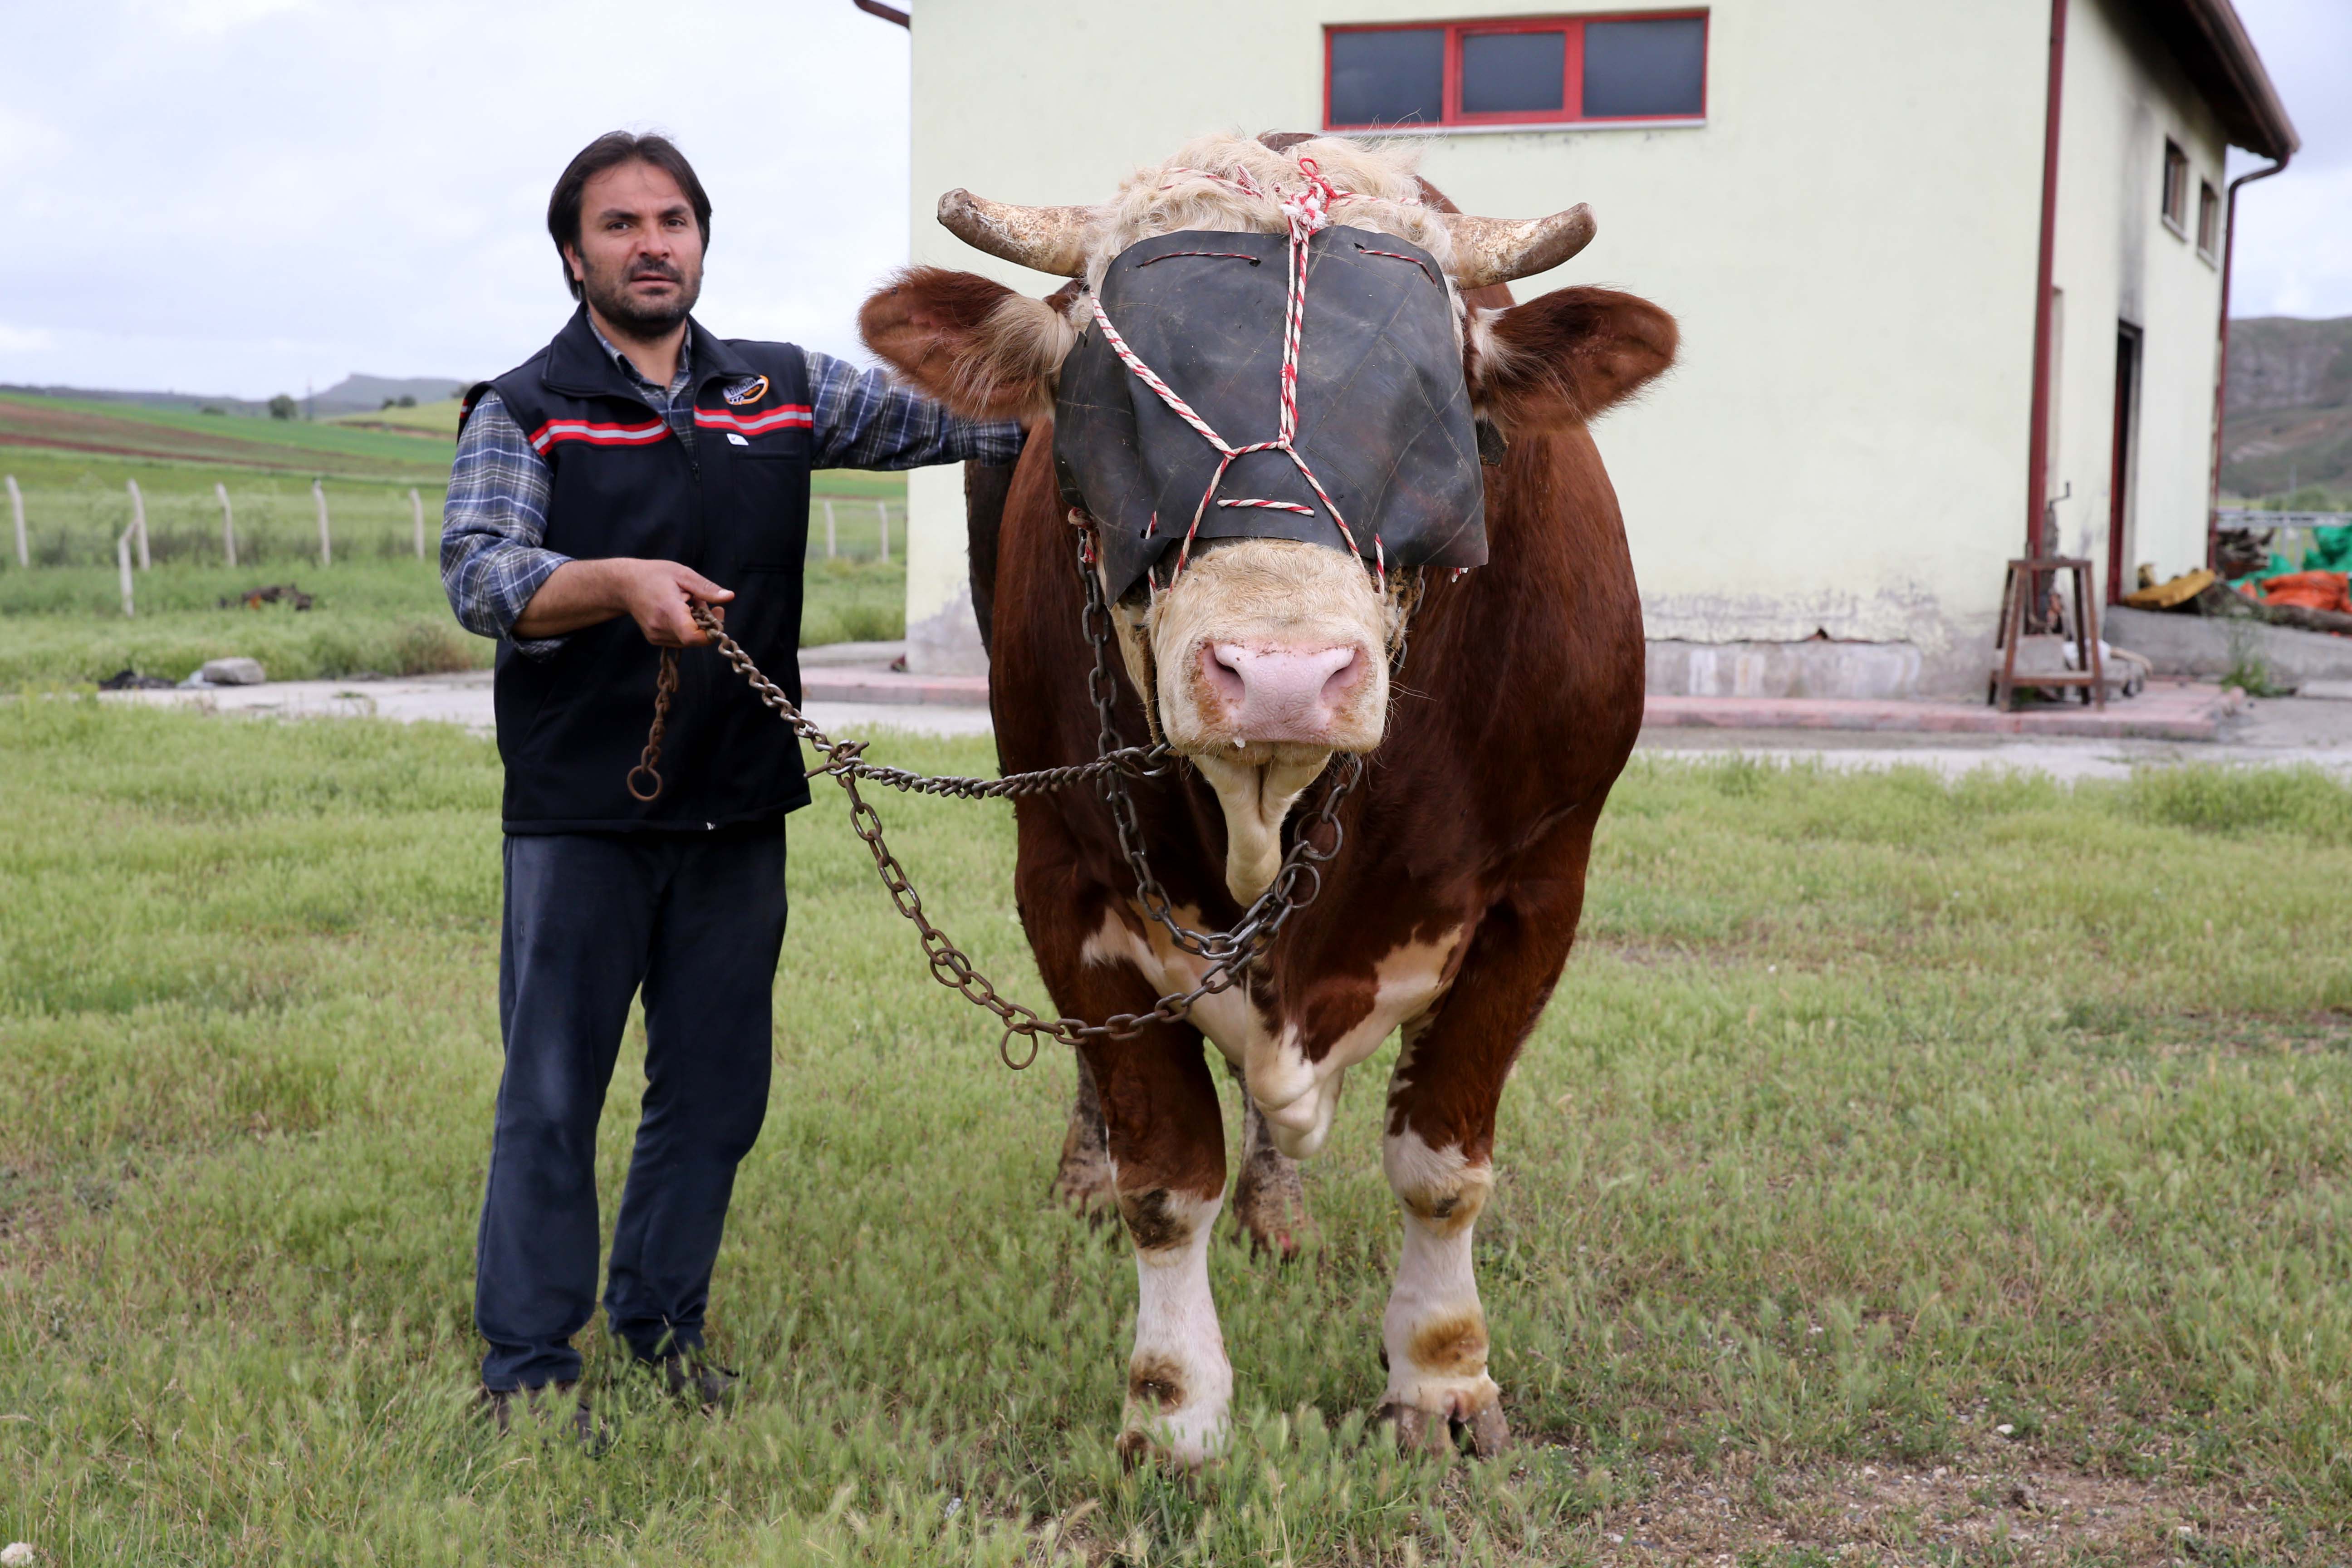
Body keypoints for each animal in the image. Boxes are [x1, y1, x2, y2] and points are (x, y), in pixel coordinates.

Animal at [861, 138, 1675, 1476]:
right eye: (1103, 400)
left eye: (1446, 416)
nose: (1283, 672)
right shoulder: (1068, 877)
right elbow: (1162, 1170)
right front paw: (1173, 1407)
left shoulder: (1540, 885)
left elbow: (1441, 1161)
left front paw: (1441, 1377)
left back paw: (1280, 1213)